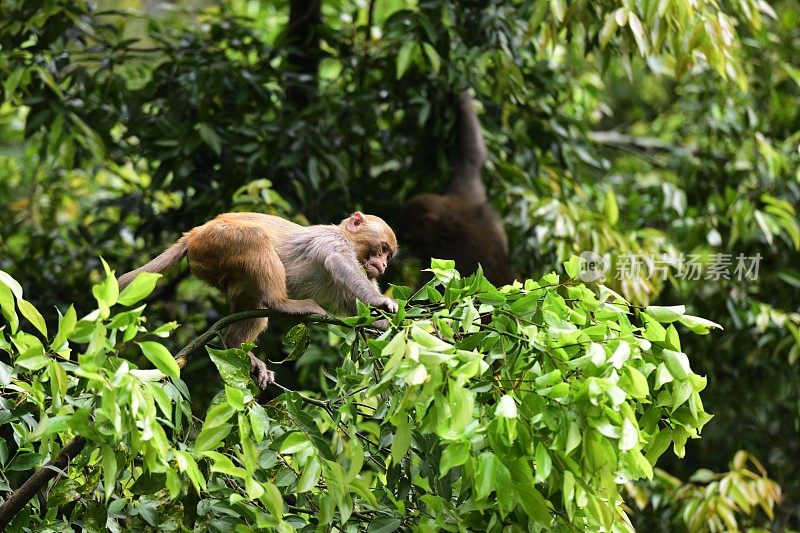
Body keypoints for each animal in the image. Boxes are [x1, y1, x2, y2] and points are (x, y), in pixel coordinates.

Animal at [117, 210, 398, 388]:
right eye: (382, 249)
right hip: (217, 241)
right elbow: (339, 262)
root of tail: (195, 232)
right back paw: (281, 304)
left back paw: (236, 345)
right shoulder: (332, 241)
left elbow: (354, 310)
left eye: (388, 255)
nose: (383, 265)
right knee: (255, 240)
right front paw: (381, 302)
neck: (349, 239)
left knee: (253, 306)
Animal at [396, 90, 516, 286]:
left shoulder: (444, 252)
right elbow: (471, 157)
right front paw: (460, 95)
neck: (447, 219)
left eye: (415, 242)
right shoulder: (465, 192)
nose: (413, 251)